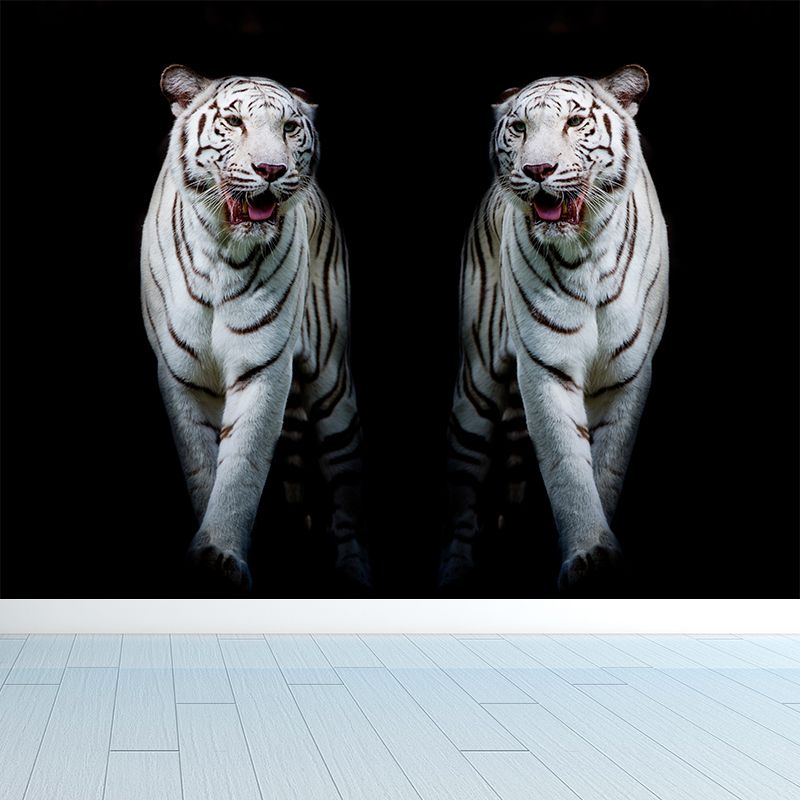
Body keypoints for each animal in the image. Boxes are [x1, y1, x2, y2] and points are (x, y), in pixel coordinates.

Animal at [141, 65, 369, 592]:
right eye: (233, 122)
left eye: (289, 128)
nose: (270, 170)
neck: (222, 251)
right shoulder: (181, 374)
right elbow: (203, 466)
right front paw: (209, 557)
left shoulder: (263, 366)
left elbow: (242, 464)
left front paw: (220, 554)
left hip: (333, 383)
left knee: (346, 483)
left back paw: (353, 570)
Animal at [440, 66, 668, 592]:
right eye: (519, 128)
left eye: (575, 121)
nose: (538, 170)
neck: (587, 252)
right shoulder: (546, 367)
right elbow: (566, 465)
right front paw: (588, 554)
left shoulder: (627, 374)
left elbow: (606, 466)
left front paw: (600, 559)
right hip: (476, 384)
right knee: (463, 483)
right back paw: (456, 569)